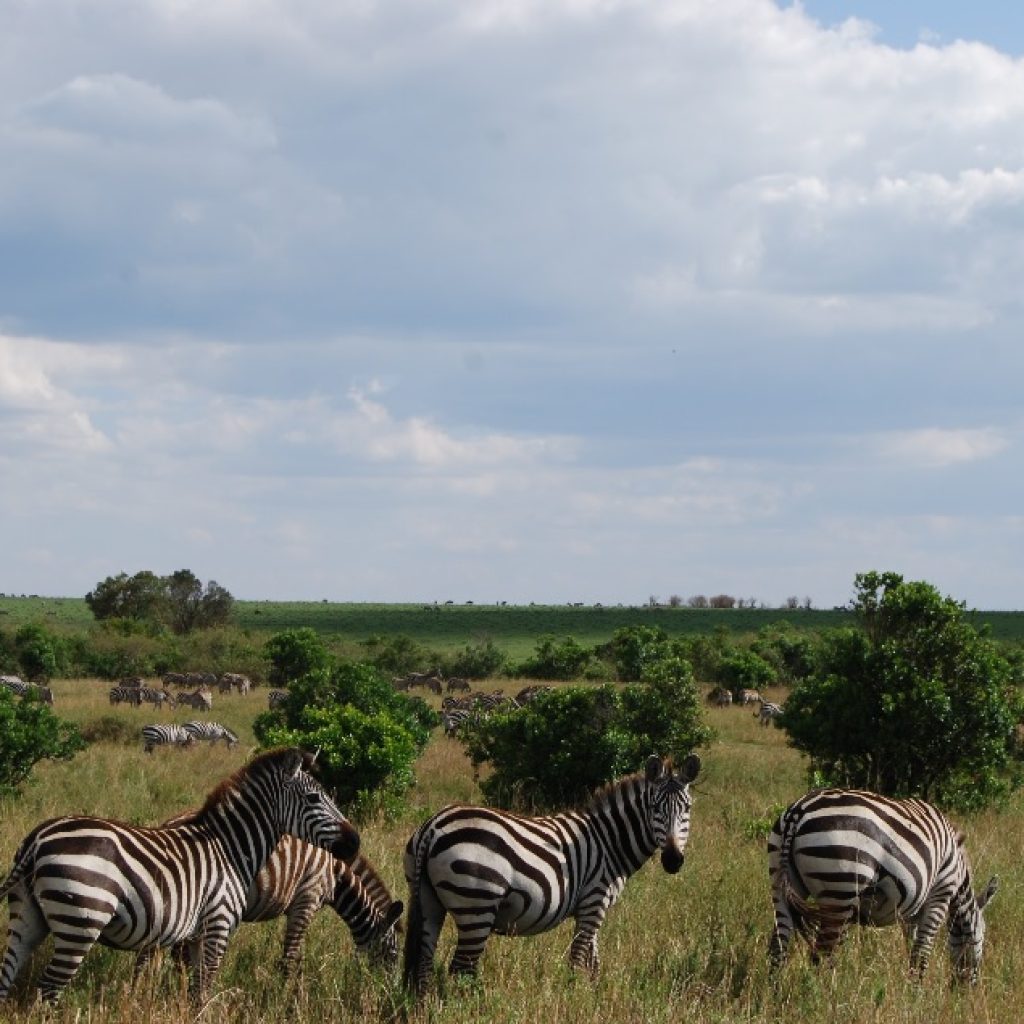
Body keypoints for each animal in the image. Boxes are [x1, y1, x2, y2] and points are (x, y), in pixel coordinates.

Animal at [0, 745, 360, 999]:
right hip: (82, 919)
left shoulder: (198, 933)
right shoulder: (219, 921)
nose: (355, 842)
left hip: (28, 917)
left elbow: (191, 987)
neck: (230, 848)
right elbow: (203, 987)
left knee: (7, 977)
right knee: (49, 988)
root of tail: (38, 838)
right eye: (314, 798)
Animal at [403, 749, 700, 995]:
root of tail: (433, 826)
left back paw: (425, 1006)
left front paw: (592, 996)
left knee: (424, 963)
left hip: (429, 901)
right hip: (477, 903)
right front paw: (573, 999)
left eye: (687, 808)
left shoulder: (592, 907)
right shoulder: (594, 901)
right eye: (655, 808)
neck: (609, 840)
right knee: (461, 968)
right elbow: (578, 958)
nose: (673, 860)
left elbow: (593, 960)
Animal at [770, 786, 999, 978]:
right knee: (821, 956)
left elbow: (911, 949)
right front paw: (917, 995)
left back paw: (778, 997)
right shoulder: (940, 896)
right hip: (840, 888)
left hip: (783, 885)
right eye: (982, 937)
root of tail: (798, 812)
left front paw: (908, 989)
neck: (958, 872)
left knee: (778, 949)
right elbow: (922, 953)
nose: (965, 990)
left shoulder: (912, 914)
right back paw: (823, 997)